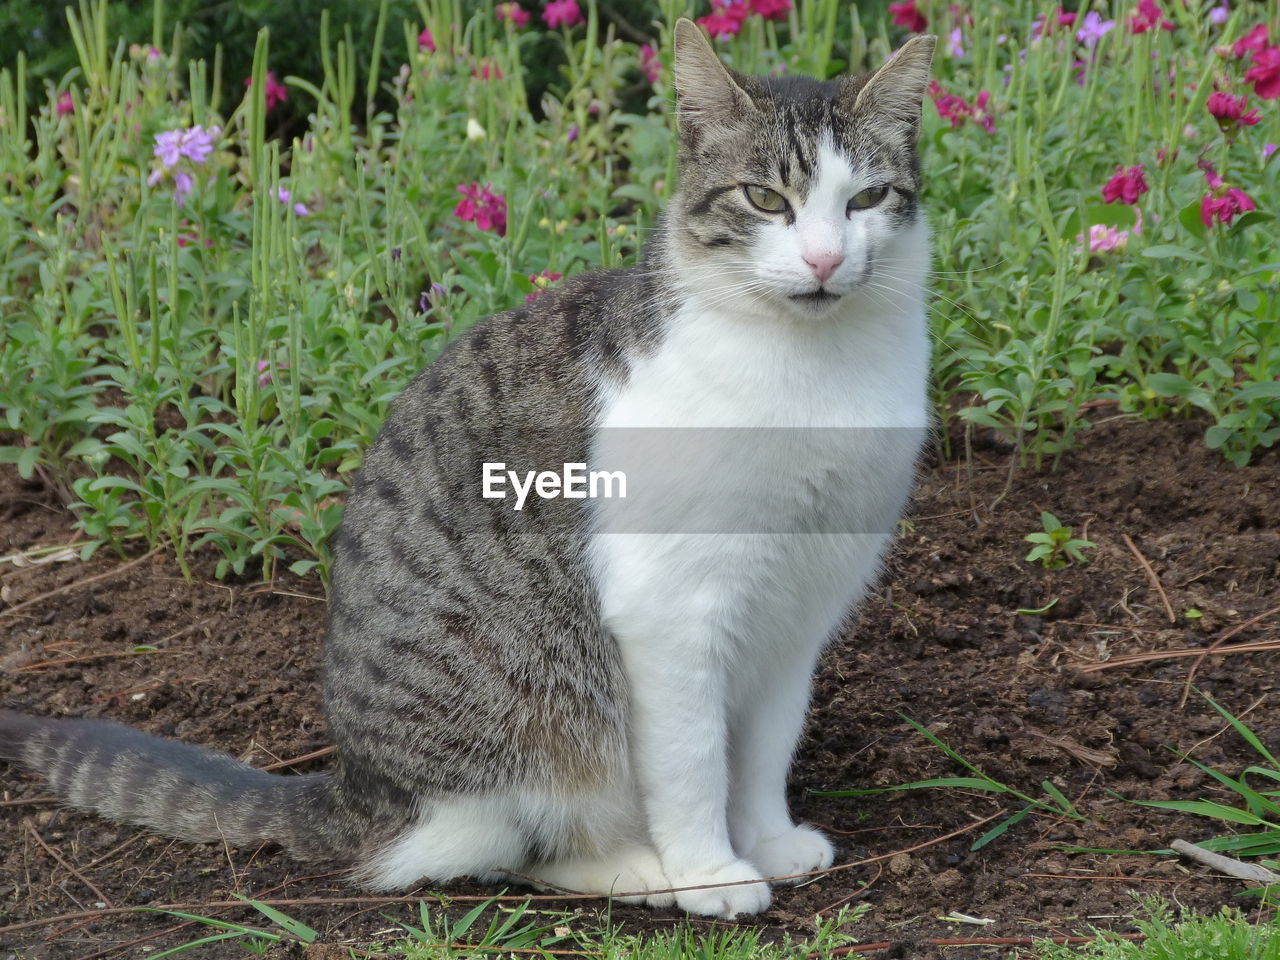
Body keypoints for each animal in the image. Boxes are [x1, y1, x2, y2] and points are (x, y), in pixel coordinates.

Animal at [2, 20, 942, 926]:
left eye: (865, 199)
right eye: (764, 199)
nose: (823, 261)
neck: (813, 373)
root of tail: (358, 789)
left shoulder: (800, 606)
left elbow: (765, 748)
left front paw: (769, 839)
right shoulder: (672, 610)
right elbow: (694, 764)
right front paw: (710, 871)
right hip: (532, 726)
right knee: (500, 849)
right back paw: (641, 871)